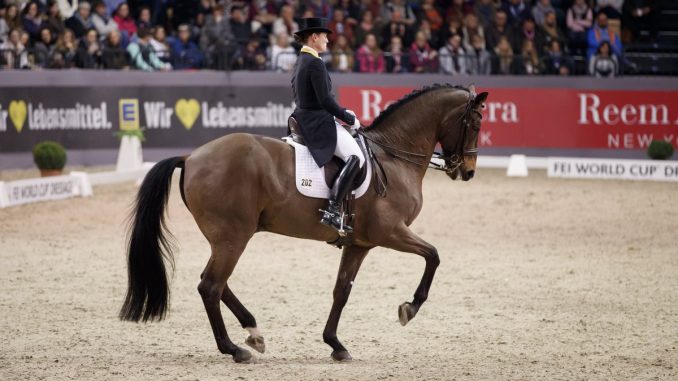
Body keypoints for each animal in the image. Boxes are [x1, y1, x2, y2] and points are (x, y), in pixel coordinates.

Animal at [118, 83, 488, 362]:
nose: (468, 172)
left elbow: (342, 290)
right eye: (475, 124)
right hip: (233, 237)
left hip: (226, 238)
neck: (394, 157)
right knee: (210, 285)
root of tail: (191, 157)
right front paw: (409, 308)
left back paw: (253, 333)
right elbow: (434, 255)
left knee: (216, 284)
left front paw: (336, 345)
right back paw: (235, 349)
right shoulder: (391, 232)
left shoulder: (359, 244)